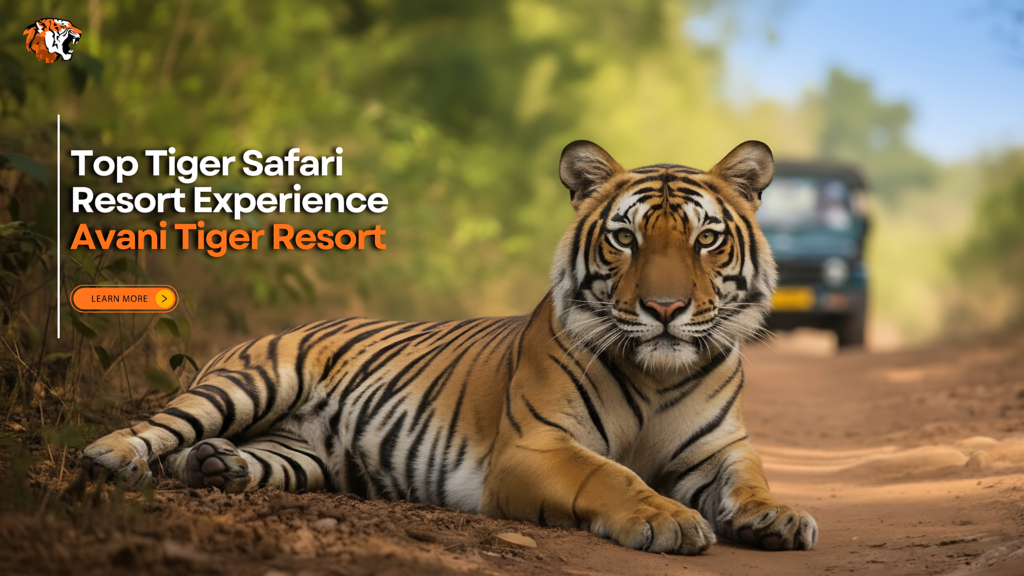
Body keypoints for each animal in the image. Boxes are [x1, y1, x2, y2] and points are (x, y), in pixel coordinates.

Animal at [82, 140, 818, 554]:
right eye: (625, 238)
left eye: (705, 239)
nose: (664, 310)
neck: (658, 372)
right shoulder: (535, 449)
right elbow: (611, 474)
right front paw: (667, 519)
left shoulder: (719, 449)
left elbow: (750, 479)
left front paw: (778, 516)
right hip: (250, 382)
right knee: (152, 427)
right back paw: (114, 461)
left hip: (300, 455)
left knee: (224, 455)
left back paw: (214, 465)